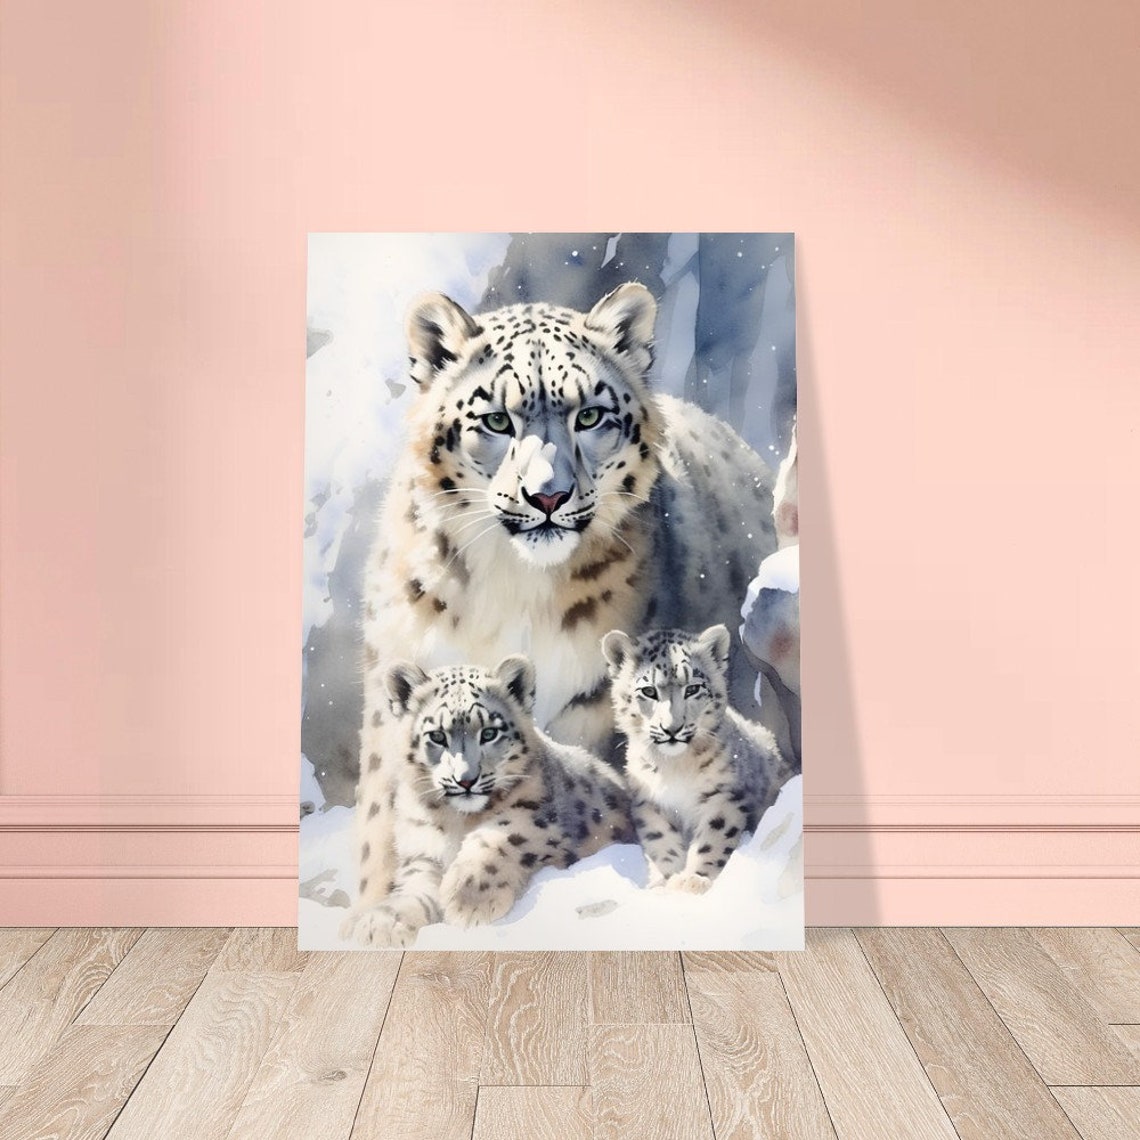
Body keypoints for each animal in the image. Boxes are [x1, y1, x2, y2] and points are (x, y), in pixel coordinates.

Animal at [340, 655, 633, 947]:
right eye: (437, 736)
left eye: (490, 733)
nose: (465, 780)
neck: (455, 821)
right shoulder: (422, 853)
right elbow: (414, 888)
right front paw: (383, 923)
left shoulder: (540, 818)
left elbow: (502, 836)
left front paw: (469, 900)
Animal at [602, 623, 796, 895]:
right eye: (649, 691)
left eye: (692, 688)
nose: (672, 728)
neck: (674, 767)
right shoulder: (650, 802)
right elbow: (661, 840)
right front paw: (666, 881)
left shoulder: (724, 795)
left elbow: (712, 839)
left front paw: (693, 880)